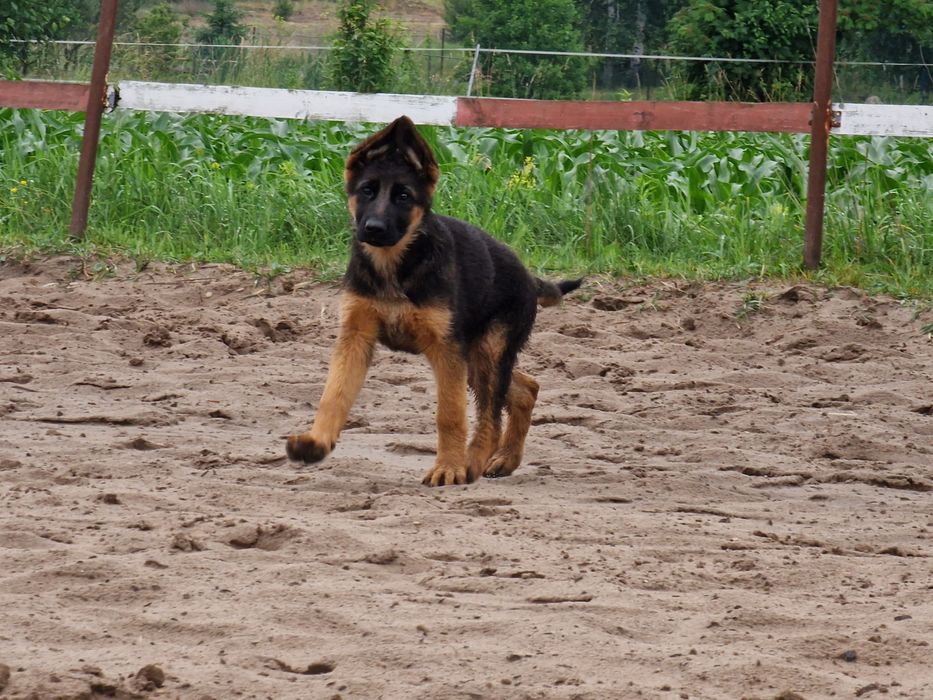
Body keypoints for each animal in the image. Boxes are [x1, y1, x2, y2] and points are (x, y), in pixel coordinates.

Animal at [284, 115, 580, 486]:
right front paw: (316, 443)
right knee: (525, 389)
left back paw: (473, 462)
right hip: (476, 357)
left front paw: (449, 468)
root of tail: (528, 276)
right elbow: (333, 395)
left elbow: (451, 414)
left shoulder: (445, 349)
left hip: (486, 352)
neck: (395, 265)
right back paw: (505, 460)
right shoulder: (355, 336)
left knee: (490, 415)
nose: (374, 228)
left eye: (403, 196)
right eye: (367, 190)